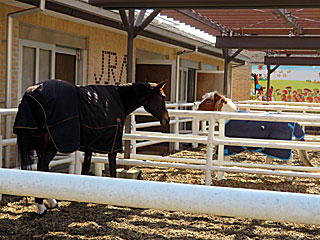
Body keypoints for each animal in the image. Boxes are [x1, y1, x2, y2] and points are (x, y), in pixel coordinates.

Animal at [13, 79, 170, 215]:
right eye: (162, 97)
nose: (167, 119)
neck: (119, 98)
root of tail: (31, 95)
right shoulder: (112, 145)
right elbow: (112, 169)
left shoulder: (89, 145)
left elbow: (86, 168)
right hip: (51, 145)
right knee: (42, 166)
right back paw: (41, 206)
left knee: (42, 169)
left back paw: (50, 201)